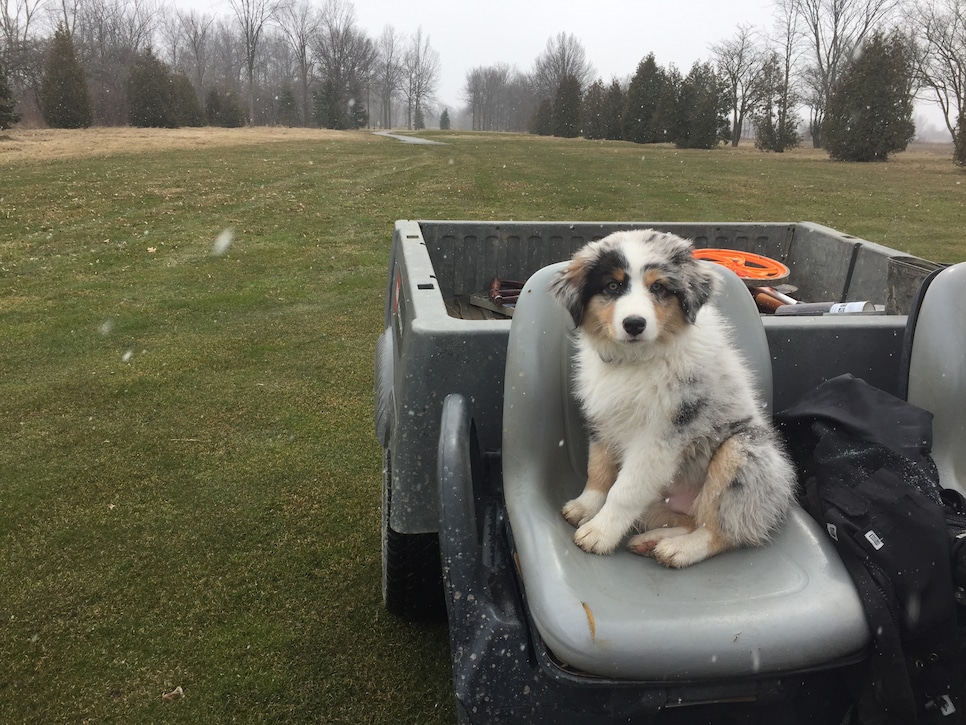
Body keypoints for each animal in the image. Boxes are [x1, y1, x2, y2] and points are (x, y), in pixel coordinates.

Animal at [548, 229, 796, 568]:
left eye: (659, 288)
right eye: (613, 286)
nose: (634, 324)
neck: (638, 360)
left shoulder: (662, 436)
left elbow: (625, 489)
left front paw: (599, 533)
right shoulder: (604, 417)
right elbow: (598, 468)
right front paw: (586, 506)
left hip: (742, 453)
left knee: (723, 530)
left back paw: (678, 549)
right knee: (692, 519)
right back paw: (651, 541)